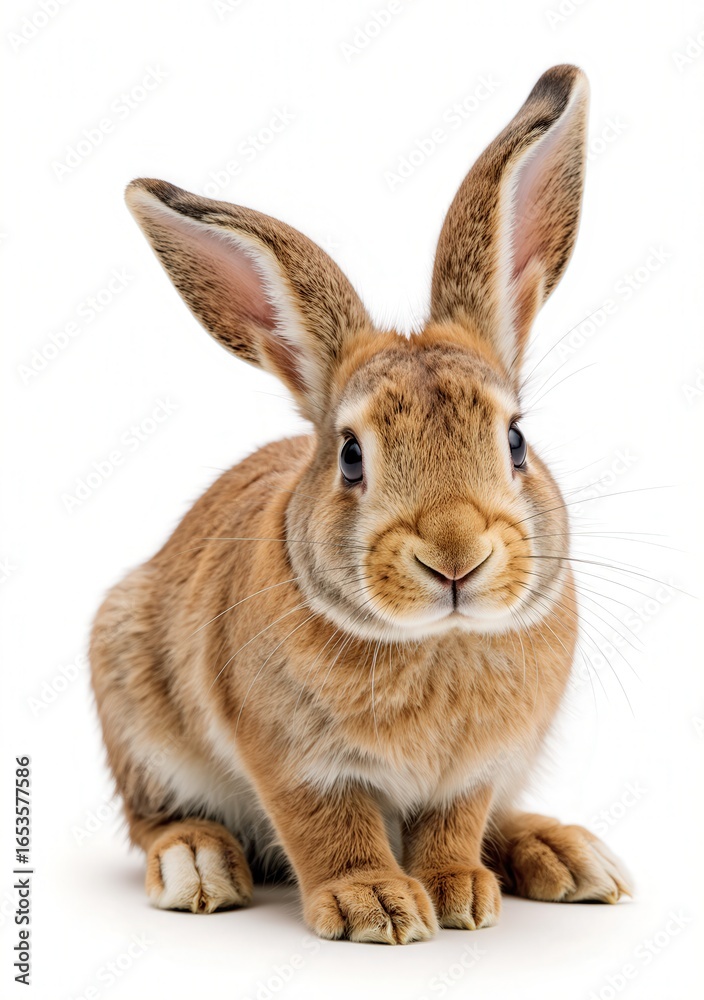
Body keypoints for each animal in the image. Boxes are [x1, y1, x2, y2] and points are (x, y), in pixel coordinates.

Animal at [90, 64, 631, 944]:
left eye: (515, 439)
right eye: (351, 456)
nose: (455, 554)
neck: (436, 640)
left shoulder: (473, 770)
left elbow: (457, 822)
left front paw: (458, 894)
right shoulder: (292, 760)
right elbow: (326, 826)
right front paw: (372, 904)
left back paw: (564, 855)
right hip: (133, 702)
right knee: (156, 818)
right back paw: (197, 864)